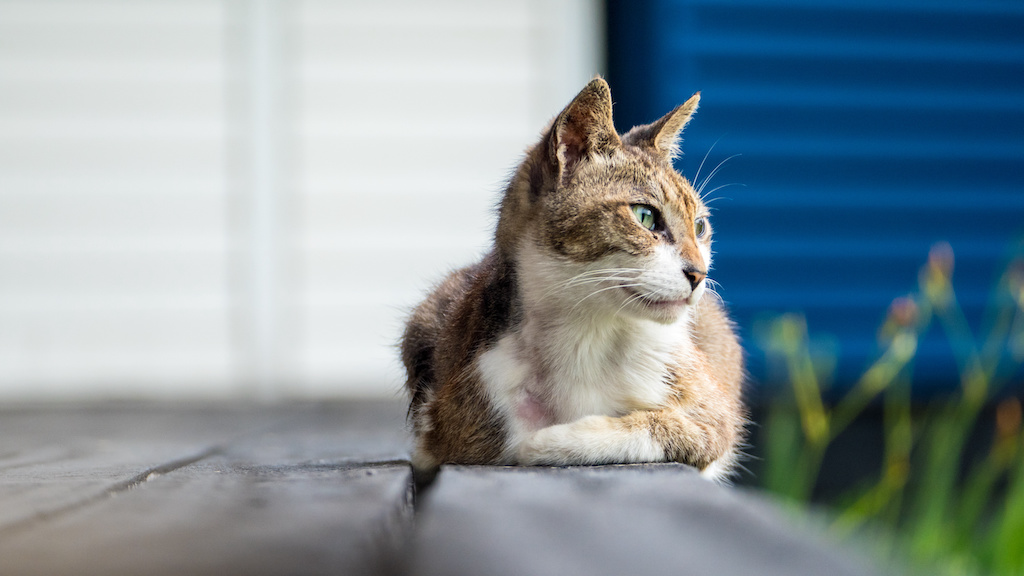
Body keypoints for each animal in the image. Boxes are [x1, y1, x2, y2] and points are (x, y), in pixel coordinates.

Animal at [399, 76, 745, 479]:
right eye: (645, 216)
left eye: (700, 226)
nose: (699, 274)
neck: (588, 332)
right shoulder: (455, 417)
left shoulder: (714, 418)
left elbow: (663, 427)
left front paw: (552, 440)